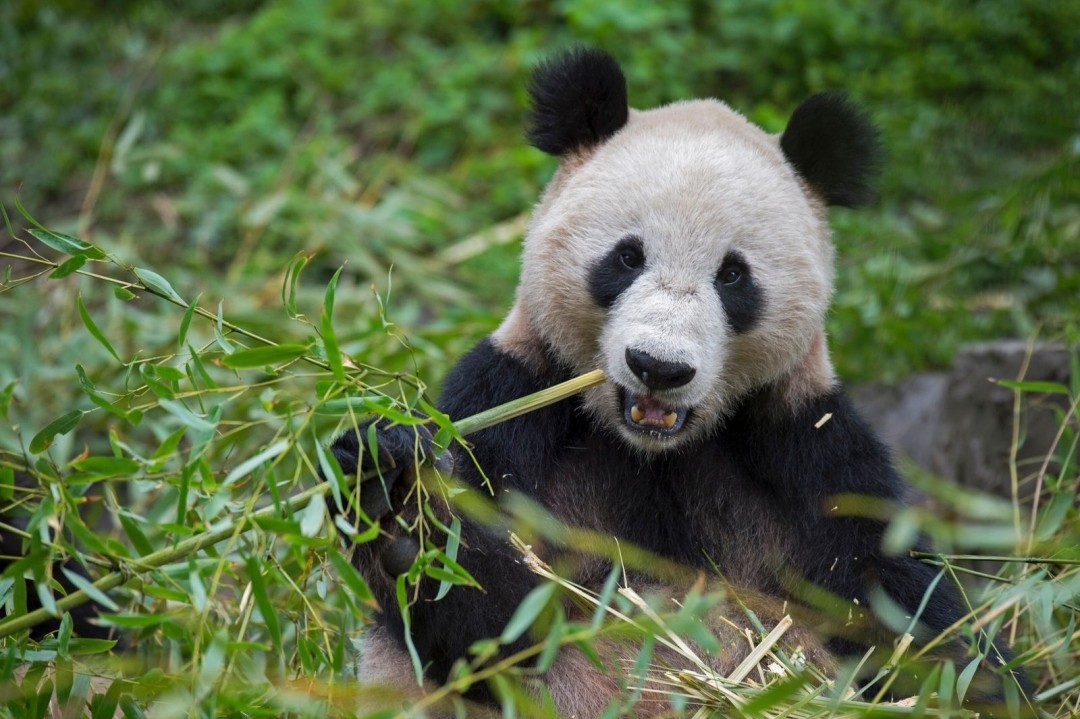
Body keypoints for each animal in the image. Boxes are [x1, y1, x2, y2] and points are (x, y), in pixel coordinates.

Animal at [329, 48, 1026, 717]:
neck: (650, 450)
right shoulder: (514, 399)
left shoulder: (804, 442)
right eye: (626, 257)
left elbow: (902, 614)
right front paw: (396, 504)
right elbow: (495, 629)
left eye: (733, 275)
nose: (658, 367)